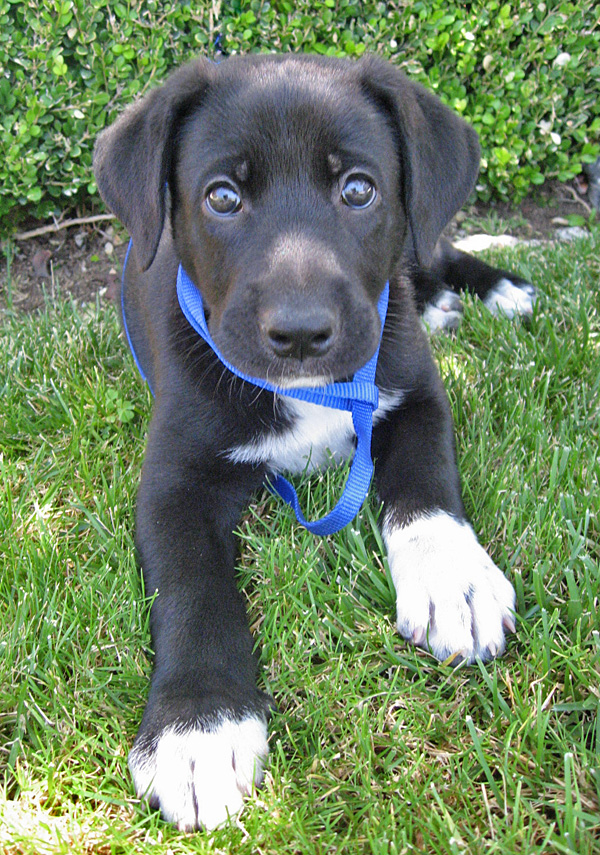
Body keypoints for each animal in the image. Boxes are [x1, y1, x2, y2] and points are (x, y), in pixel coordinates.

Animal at [95, 53, 536, 828]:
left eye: (358, 189)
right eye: (222, 197)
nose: (300, 333)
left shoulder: (416, 396)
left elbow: (426, 492)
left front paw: (452, 579)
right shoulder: (174, 479)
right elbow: (191, 586)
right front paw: (198, 727)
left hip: (417, 247)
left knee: (431, 247)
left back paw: (490, 290)